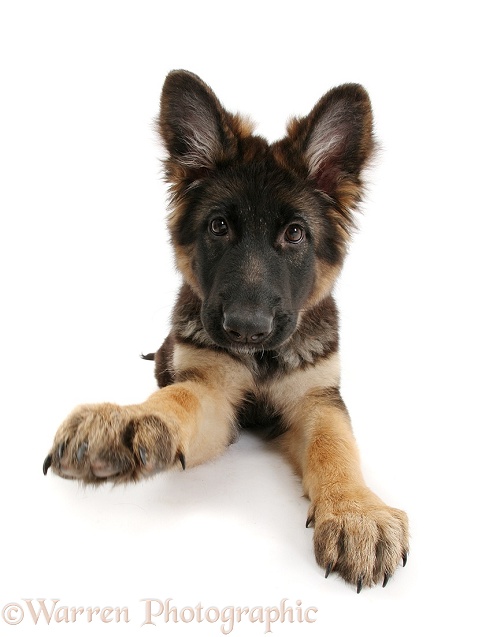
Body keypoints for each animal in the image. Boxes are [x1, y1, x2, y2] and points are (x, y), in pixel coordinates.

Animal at [43, 69, 408, 592]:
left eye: (295, 234)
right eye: (219, 227)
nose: (245, 330)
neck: (261, 360)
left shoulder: (318, 397)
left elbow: (334, 445)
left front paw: (356, 511)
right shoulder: (213, 391)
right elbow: (180, 399)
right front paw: (131, 419)